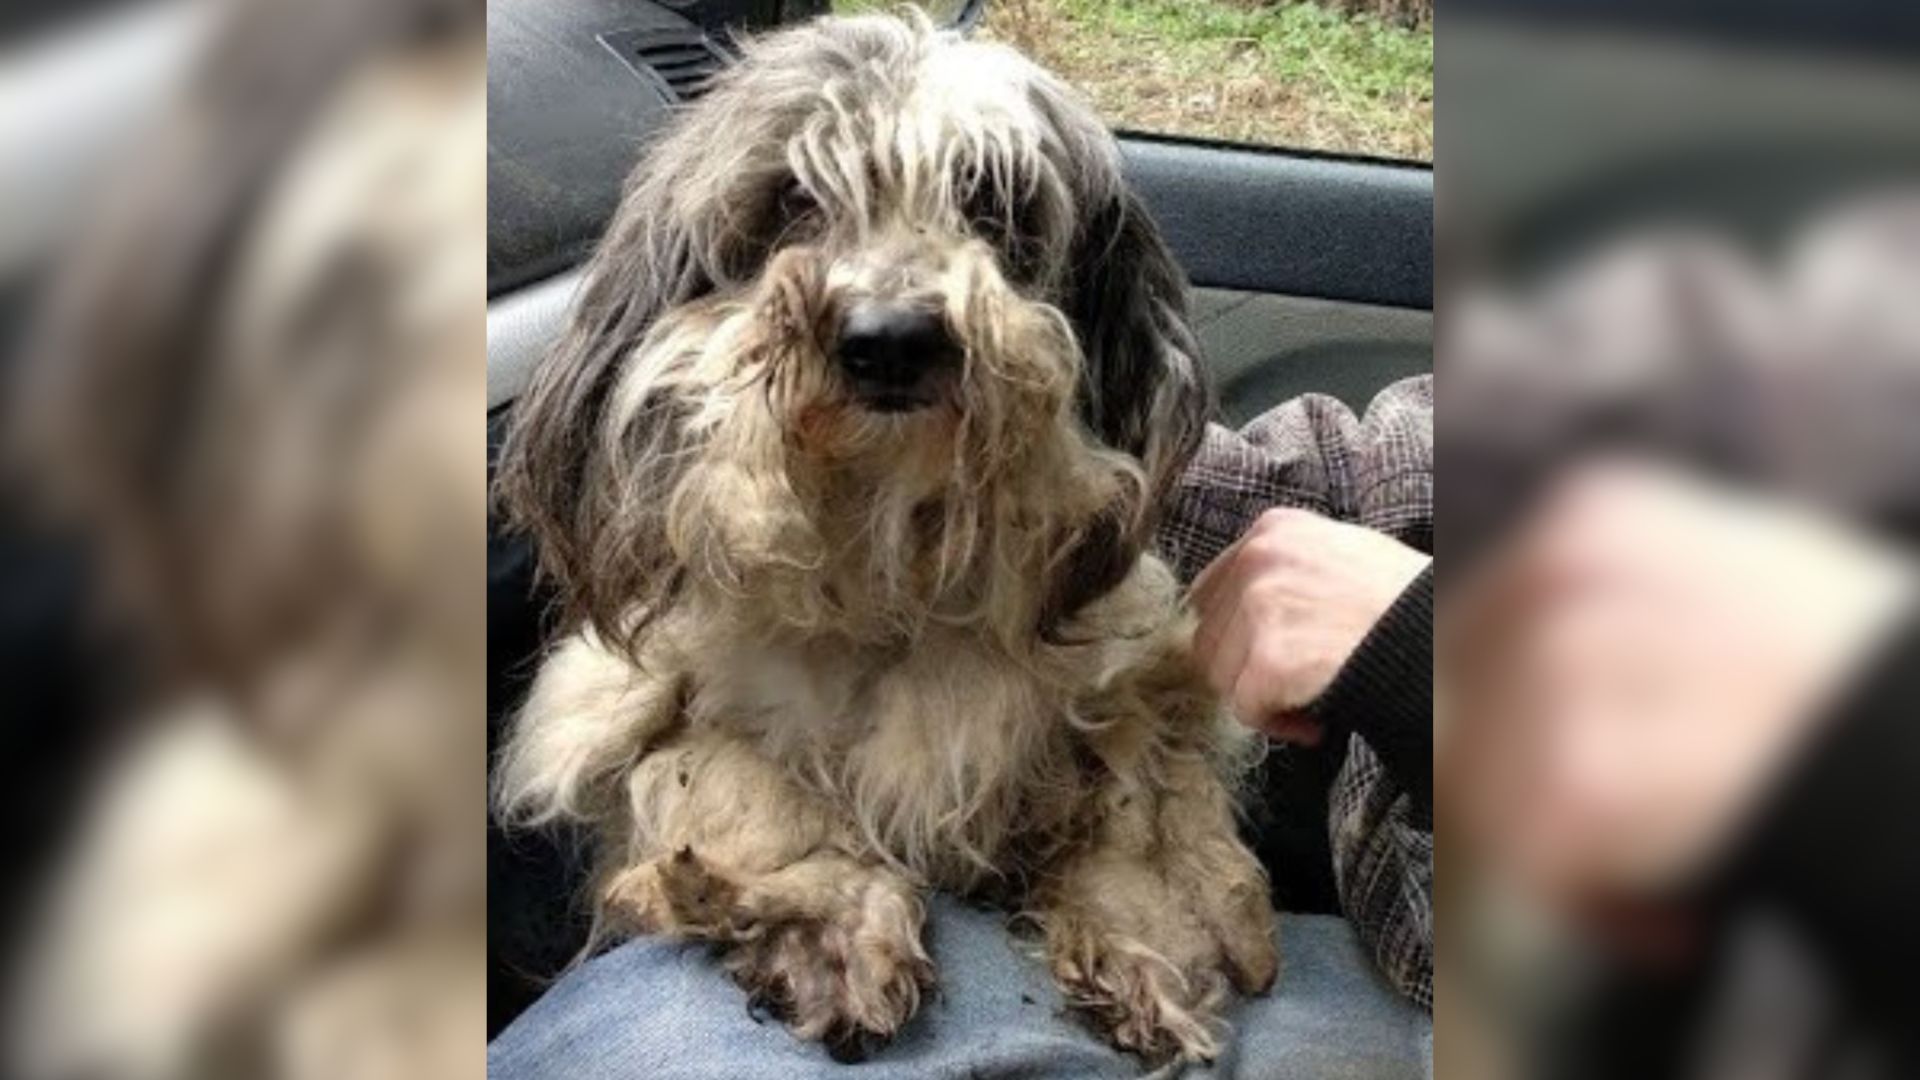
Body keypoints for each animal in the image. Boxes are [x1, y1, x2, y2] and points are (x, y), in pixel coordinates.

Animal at [491, 12, 1274, 1060]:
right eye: (793, 198)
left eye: (993, 203)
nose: (891, 340)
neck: (890, 553)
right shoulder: (633, 703)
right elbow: (745, 782)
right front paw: (832, 915)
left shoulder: (1139, 680)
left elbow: (1132, 799)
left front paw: (1141, 936)